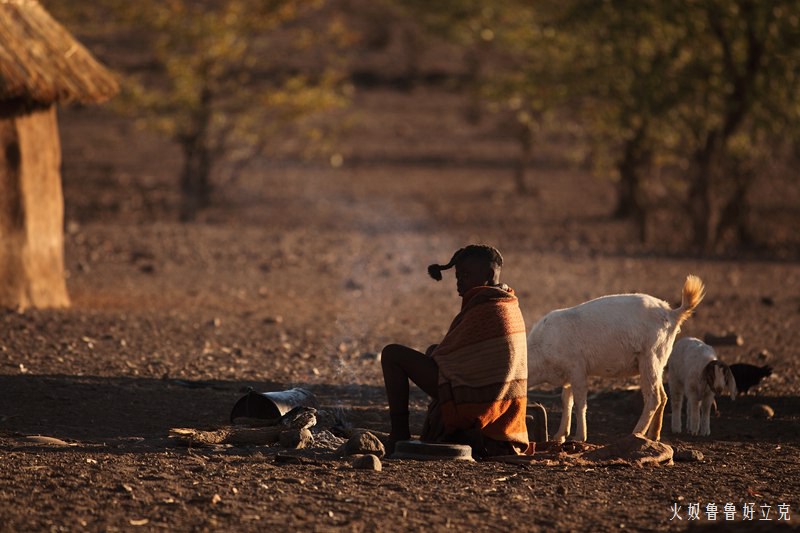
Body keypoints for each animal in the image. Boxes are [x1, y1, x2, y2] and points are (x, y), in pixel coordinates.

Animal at [528, 274, 704, 440]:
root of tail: (673, 313)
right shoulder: (569, 376)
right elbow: (567, 401)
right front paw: (560, 436)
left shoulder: (577, 369)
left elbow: (580, 403)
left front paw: (579, 437)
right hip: (658, 362)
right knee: (663, 396)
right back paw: (653, 436)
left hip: (650, 358)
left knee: (654, 398)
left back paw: (636, 433)